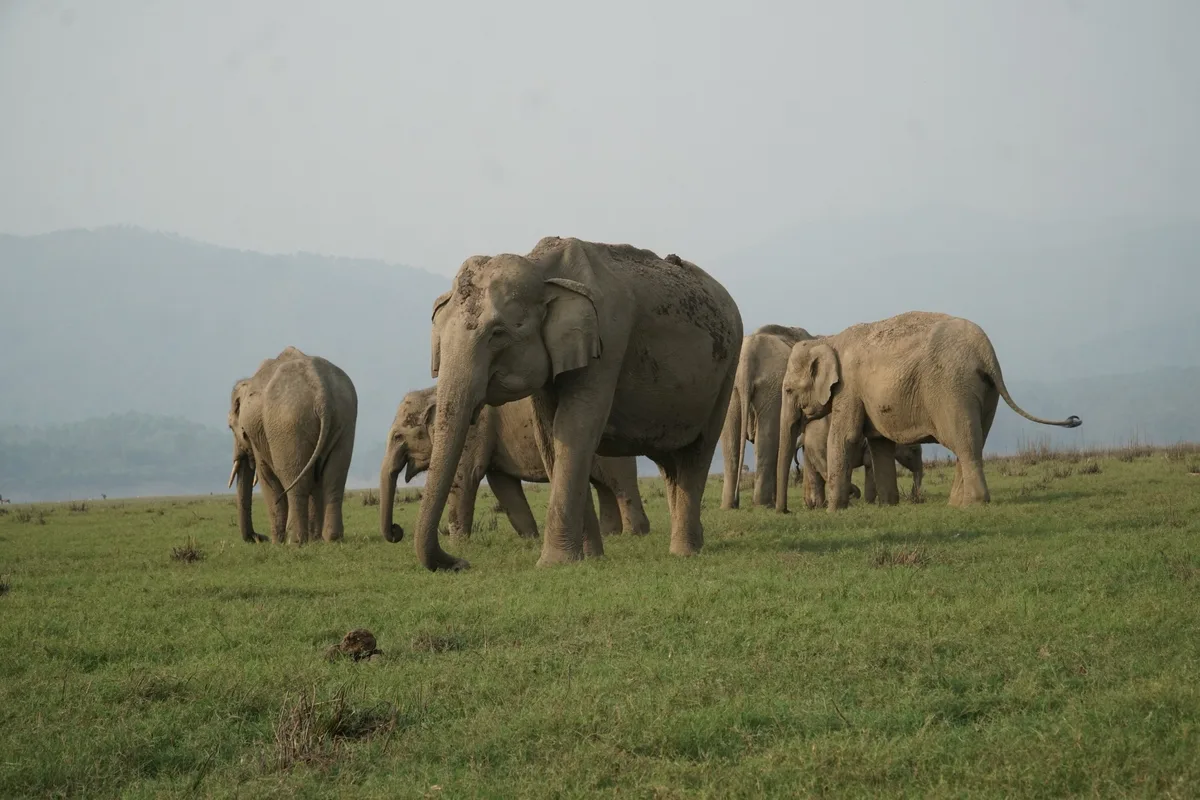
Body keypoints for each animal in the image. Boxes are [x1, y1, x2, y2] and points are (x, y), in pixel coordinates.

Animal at [227, 346, 358, 543]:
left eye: (230, 427)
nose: (259, 537)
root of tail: (322, 393)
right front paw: (315, 540)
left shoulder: (257, 432)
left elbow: (267, 477)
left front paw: (276, 543)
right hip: (345, 421)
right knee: (333, 478)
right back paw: (331, 539)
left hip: (289, 425)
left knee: (296, 481)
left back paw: (294, 542)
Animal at [378, 386, 651, 542]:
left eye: (398, 436)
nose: (396, 531)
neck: (433, 390)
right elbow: (503, 485)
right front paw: (530, 539)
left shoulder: (473, 431)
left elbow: (464, 478)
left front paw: (458, 544)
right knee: (603, 485)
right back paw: (611, 534)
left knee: (619, 483)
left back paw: (636, 533)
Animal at [413, 236, 742, 570]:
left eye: (497, 333)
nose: (461, 563)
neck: (542, 268)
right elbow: (550, 435)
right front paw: (587, 558)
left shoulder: (608, 340)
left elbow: (575, 428)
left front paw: (553, 563)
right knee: (669, 463)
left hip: (728, 369)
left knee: (696, 452)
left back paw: (684, 552)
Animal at [720, 323, 815, 509]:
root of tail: (747, 355)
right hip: (773, 388)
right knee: (767, 439)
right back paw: (764, 505)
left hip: (734, 388)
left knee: (731, 442)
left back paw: (730, 506)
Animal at [793, 415, 924, 509]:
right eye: (914, 450)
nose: (915, 500)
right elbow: (870, 466)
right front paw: (870, 504)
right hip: (819, 445)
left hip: (811, 448)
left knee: (813, 473)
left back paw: (815, 506)